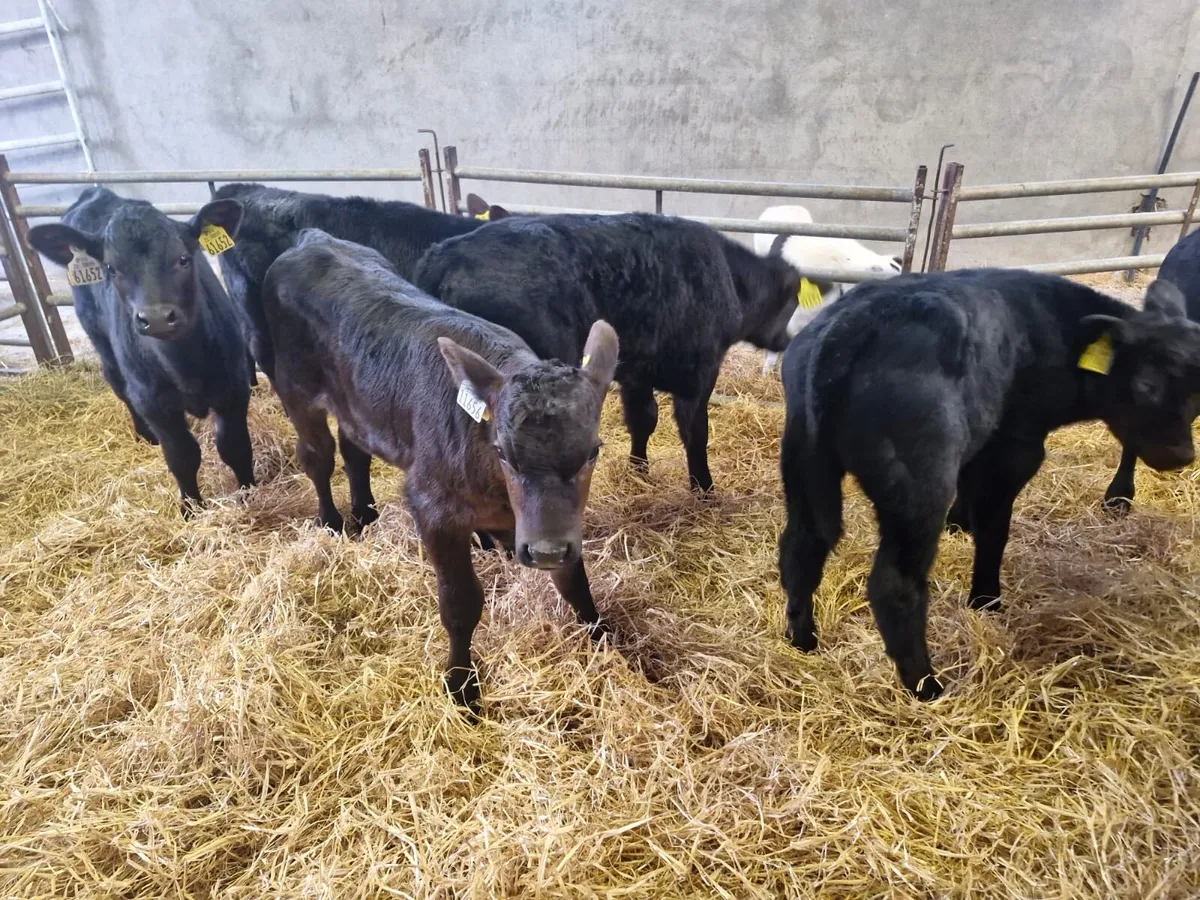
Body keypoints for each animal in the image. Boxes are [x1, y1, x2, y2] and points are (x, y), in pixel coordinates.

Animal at [27, 188, 255, 515]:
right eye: (111, 268)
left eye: (184, 259)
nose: (157, 317)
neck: (185, 366)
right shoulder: (153, 401)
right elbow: (182, 456)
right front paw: (190, 509)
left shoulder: (233, 386)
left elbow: (234, 446)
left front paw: (250, 493)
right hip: (102, 342)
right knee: (117, 382)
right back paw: (145, 434)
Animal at [260, 229, 619, 711]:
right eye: (503, 452)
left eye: (592, 451)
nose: (544, 552)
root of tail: (313, 239)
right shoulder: (432, 507)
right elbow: (460, 603)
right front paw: (462, 687)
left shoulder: (552, 527)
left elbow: (575, 583)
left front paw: (608, 643)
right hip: (294, 389)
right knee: (317, 455)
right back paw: (333, 522)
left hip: (357, 402)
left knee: (355, 449)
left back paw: (365, 513)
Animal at [415, 212, 802, 493]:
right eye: (792, 302)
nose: (787, 341)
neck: (729, 280)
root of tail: (443, 255)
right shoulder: (698, 375)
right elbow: (695, 434)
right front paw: (704, 489)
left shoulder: (635, 373)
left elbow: (643, 420)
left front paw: (639, 470)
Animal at [778, 269, 1200, 699]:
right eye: (1147, 384)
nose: (1181, 454)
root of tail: (845, 330)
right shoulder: (1015, 446)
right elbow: (995, 531)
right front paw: (985, 600)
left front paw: (959, 525)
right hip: (919, 479)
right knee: (893, 583)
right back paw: (927, 685)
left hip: (806, 460)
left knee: (804, 544)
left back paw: (803, 639)